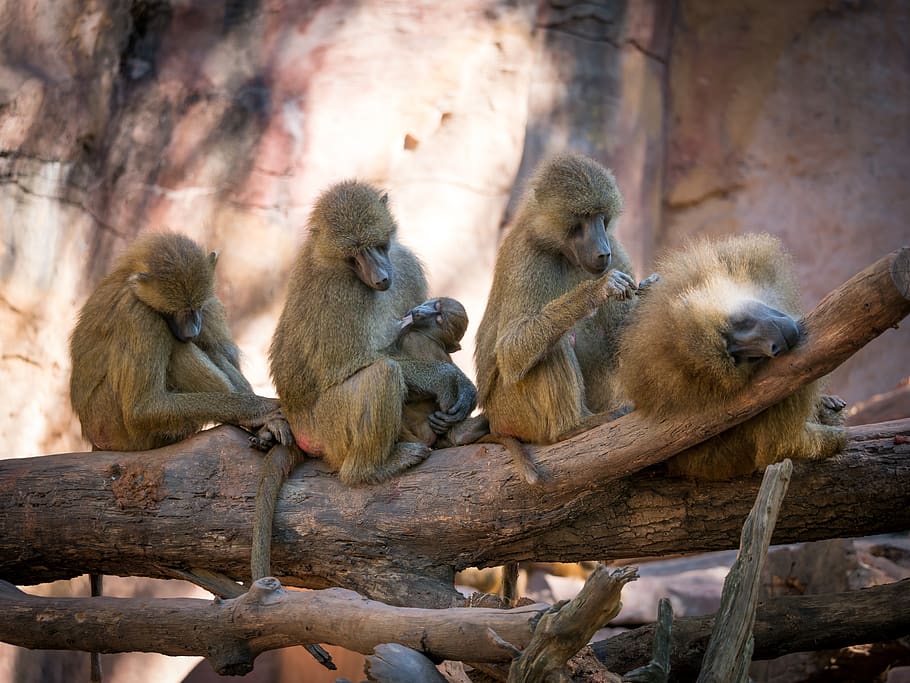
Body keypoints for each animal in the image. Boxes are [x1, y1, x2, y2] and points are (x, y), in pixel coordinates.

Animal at [68, 232, 294, 682]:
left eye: (195, 309)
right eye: (178, 310)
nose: (191, 327)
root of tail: (95, 438)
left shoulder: (209, 308)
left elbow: (220, 351)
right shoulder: (142, 316)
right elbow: (144, 405)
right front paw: (257, 411)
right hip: (122, 431)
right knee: (176, 354)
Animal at [268, 180, 476, 487]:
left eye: (376, 245)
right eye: (353, 255)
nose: (381, 278)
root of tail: (297, 423)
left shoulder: (405, 265)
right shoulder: (337, 293)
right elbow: (345, 366)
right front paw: (446, 377)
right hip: (328, 427)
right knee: (383, 373)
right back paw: (370, 469)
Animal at [474, 151, 656, 447]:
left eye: (601, 217)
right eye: (583, 217)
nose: (602, 252)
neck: (562, 251)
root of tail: (495, 423)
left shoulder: (617, 250)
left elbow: (623, 335)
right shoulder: (528, 258)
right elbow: (511, 349)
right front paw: (597, 290)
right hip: (514, 412)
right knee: (552, 342)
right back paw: (573, 427)